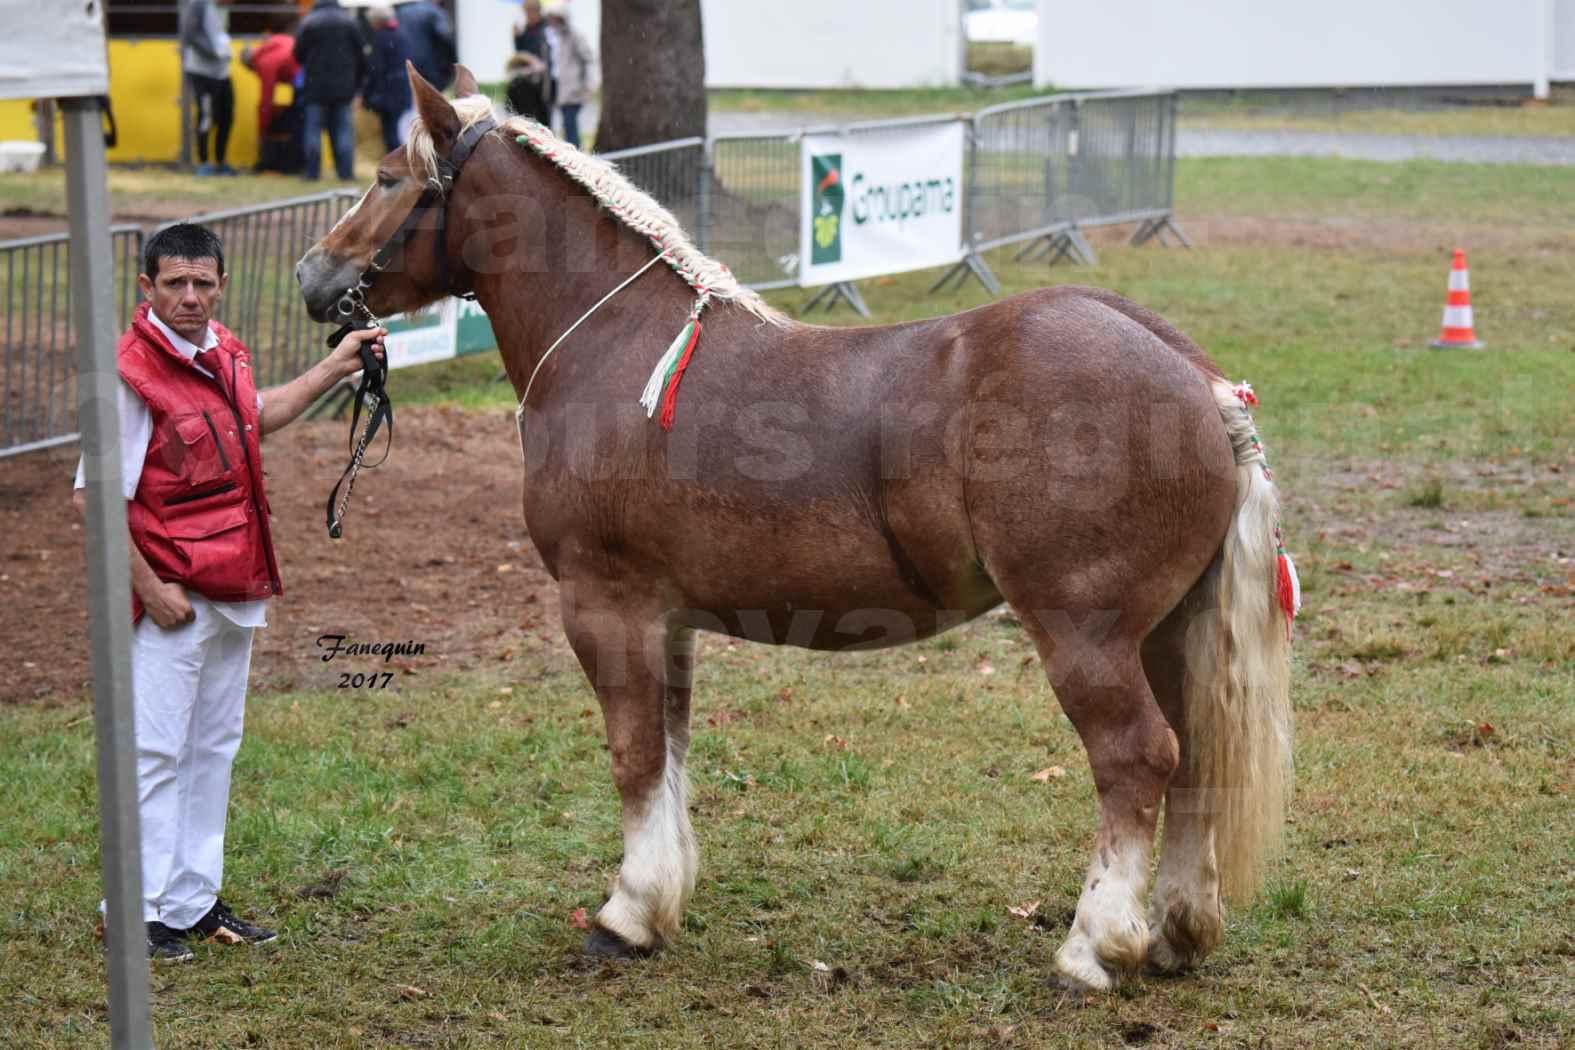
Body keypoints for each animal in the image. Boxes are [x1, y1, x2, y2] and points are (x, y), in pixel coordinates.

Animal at [297, 67, 1291, 994]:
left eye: (387, 178)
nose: (313, 275)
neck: (614, 343)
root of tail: (1196, 381)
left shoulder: (603, 605)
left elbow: (633, 756)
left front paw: (624, 915)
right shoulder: (667, 619)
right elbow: (670, 753)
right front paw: (661, 903)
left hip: (1084, 630)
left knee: (1136, 757)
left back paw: (1094, 948)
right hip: (1167, 631)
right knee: (1194, 755)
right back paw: (1175, 932)